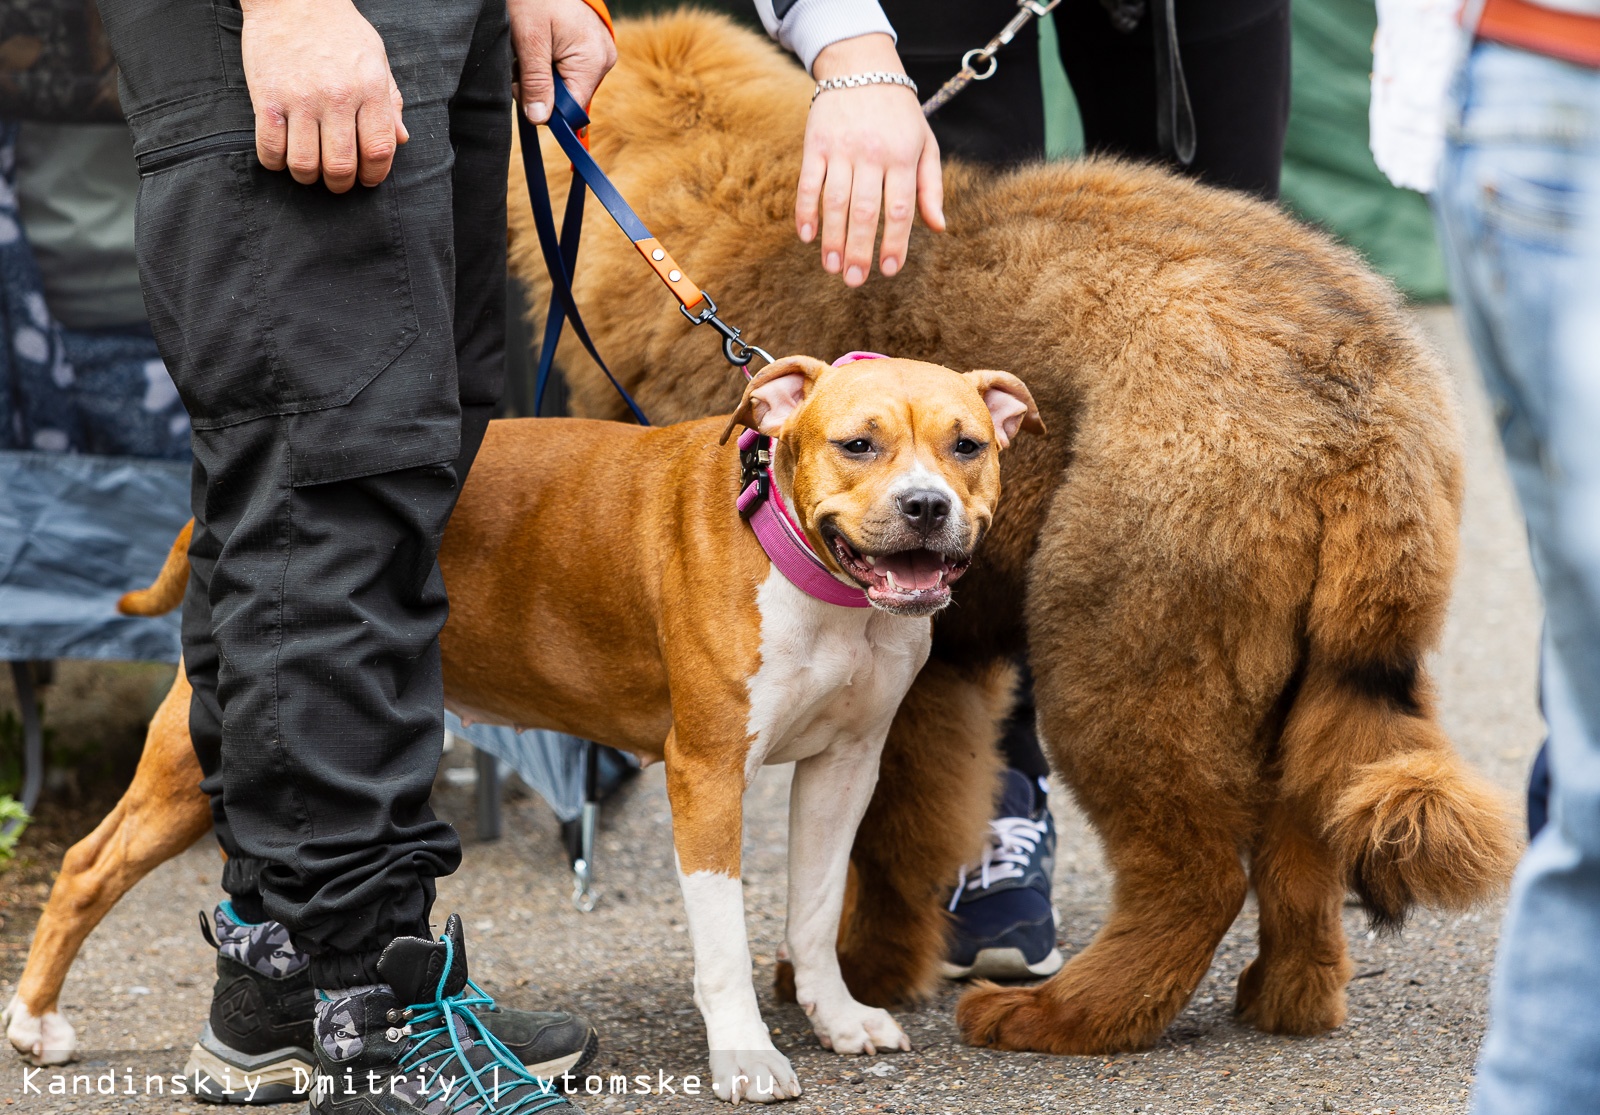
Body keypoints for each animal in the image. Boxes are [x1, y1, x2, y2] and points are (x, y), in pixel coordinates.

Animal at [3, 351, 1036, 1100]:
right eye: (858, 444)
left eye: (967, 446)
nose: (925, 506)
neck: (811, 575)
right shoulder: (706, 773)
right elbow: (722, 941)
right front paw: (746, 1053)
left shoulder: (843, 765)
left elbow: (815, 909)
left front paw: (836, 1015)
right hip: (196, 752)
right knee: (87, 864)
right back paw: (33, 1021)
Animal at [505, 8, 1516, 1049]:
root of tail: (1362, 396)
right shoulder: (929, 656)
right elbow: (903, 831)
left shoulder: (904, 666)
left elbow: (877, 843)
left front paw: (856, 976)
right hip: (1299, 667)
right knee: (1298, 842)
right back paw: (1290, 995)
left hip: (1120, 650)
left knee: (1194, 876)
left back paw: (1054, 1014)